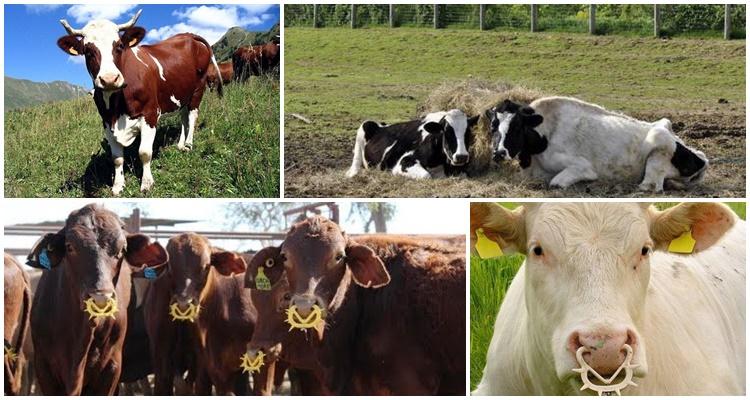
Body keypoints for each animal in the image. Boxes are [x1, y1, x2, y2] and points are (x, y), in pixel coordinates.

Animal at [57, 9, 223, 195]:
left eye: (119, 46)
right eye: (87, 51)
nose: (109, 79)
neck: (117, 109)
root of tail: (189, 34)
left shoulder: (150, 114)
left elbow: (144, 152)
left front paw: (147, 183)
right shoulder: (106, 122)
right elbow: (117, 158)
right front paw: (118, 185)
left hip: (198, 89)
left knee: (192, 116)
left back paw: (188, 144)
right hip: (181, 94)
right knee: (183, 117)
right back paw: (180, 144)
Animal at [346, 110, 480, 179]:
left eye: (468, 132)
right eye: (446, 131)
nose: (461, 156)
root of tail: (382, 125)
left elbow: (464, 175)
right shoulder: (404, 161)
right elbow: (426, 175)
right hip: (365, 125)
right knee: (356, 161)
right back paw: (352, 173)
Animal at [486, 97, 708, 191]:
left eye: (516, 127)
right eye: (493, 127)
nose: (498, 153)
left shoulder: (582, 167)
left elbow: (556, 183)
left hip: (657, 144)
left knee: (651, 185)